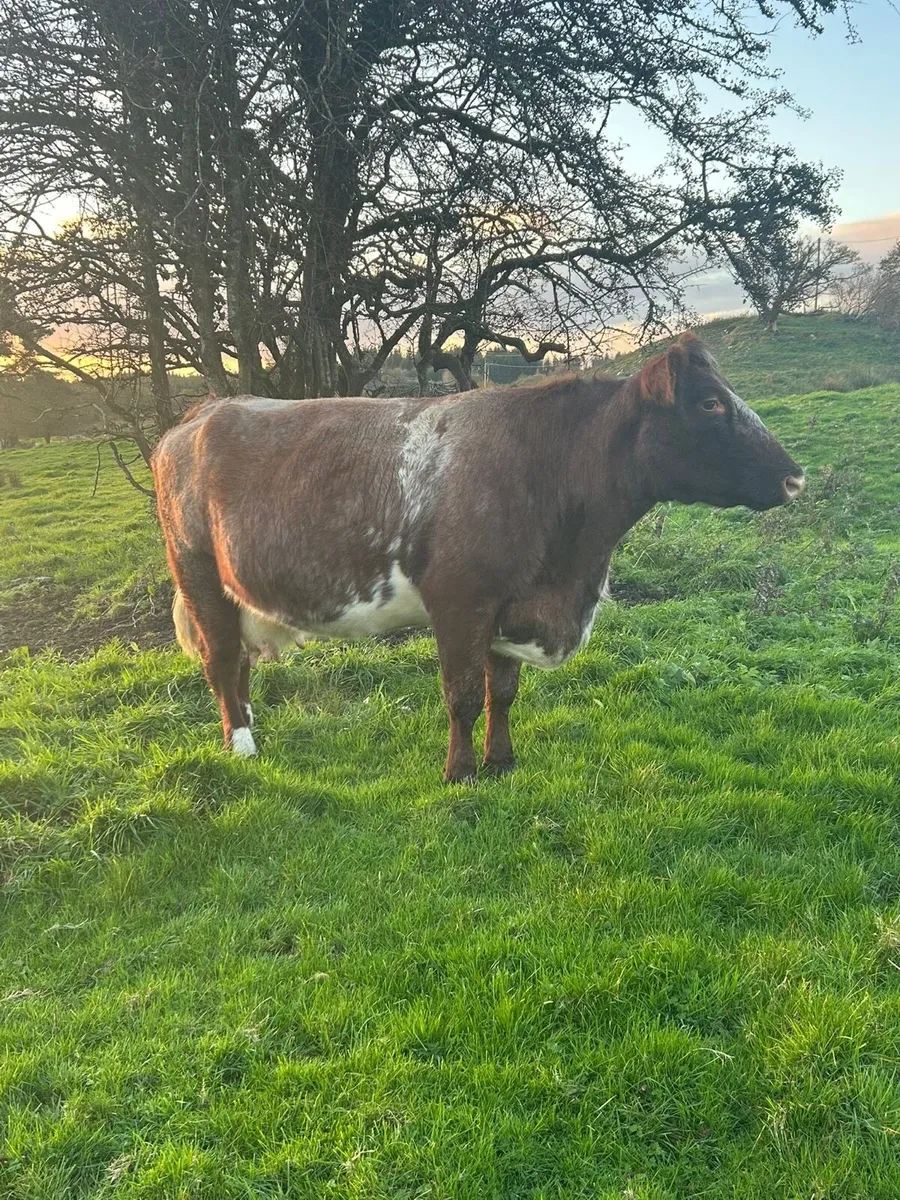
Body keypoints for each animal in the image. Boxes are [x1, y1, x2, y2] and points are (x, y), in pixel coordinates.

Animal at [151, 333, 805, 782]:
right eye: (710, 404)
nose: (795, 478)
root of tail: (204, 411)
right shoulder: (460, 601)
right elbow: (463, 695)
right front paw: (460, 772)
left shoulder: (510, 607)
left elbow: (502, 693)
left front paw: (502, 761)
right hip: (196, 570)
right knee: (220, 661)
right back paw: (242, 747)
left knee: (237, 663)